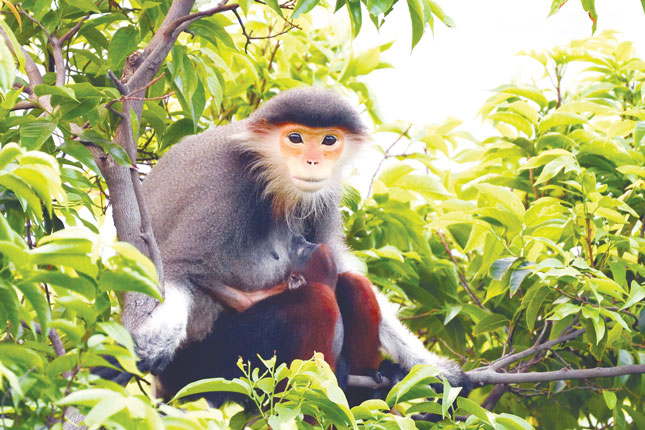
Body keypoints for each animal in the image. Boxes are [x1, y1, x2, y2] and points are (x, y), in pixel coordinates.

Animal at [135, 87, 468, 394]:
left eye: (328, 141)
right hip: (210, 364)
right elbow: (178, 267)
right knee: (318, 302)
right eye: (295, 138)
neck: (269, 180)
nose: (312, 161)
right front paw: (159, 340)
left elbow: (341, 264)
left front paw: (433, 366)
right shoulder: (222, 186)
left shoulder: (325, 198)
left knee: (353, 285)